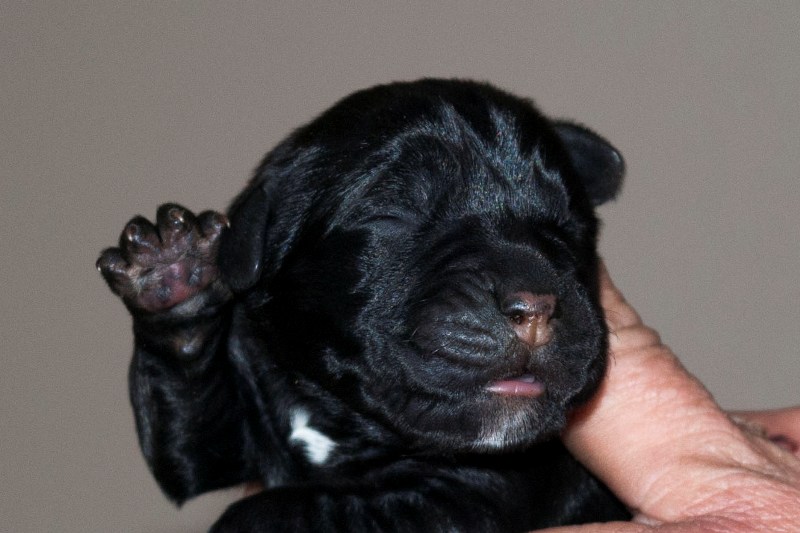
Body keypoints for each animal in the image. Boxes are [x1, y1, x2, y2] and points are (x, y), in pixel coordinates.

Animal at [98, 79, 628, 531]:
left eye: (570, 225)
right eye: (394, 215)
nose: (537, 306)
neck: (339, 422)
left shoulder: (481, 491)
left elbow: (303, 508)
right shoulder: (231, 430)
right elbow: (196, 437)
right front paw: (172, 275)